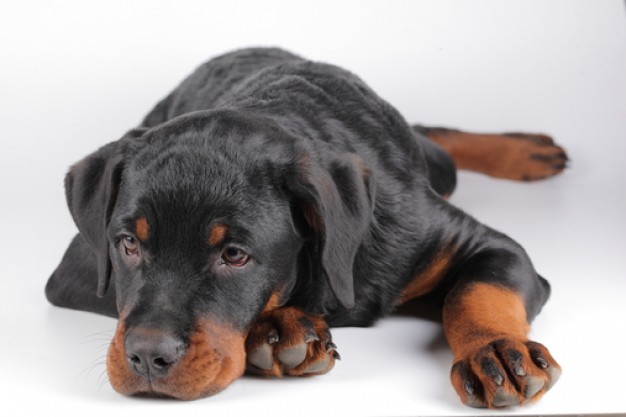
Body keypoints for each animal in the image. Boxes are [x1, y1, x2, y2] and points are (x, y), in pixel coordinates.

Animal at [46, 48, 564, 406]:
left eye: (235, 254)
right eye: (128, 244)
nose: (148, 359)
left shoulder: (487, 246)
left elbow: (478, 292)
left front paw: (495, 352)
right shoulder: (75, 275)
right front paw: (282, 327)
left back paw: (528, 149)